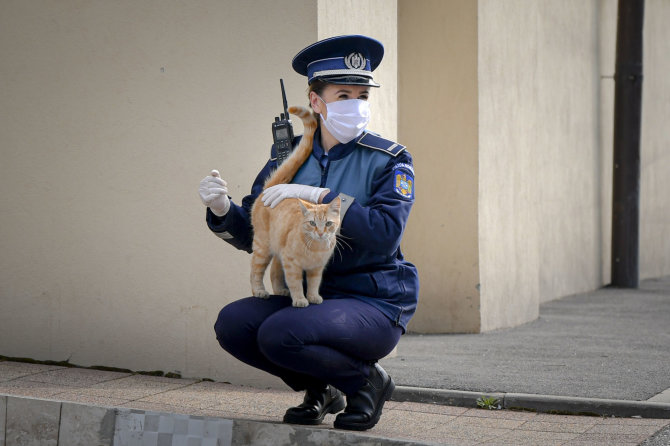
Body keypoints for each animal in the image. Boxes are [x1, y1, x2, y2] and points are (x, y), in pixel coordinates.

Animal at [251, 105, 342, 306]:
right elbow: (296, 284)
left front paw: (314, 297)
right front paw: (300, 299)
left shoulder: (316, 268)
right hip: (263, 248)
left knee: (274, 270)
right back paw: (259, 291)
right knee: (255, 271)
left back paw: (280, 290)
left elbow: (314, 284)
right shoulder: (291, 264)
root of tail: (270, 189)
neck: (316, 248)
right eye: (312, 223)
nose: (321, 233)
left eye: (328, 224)